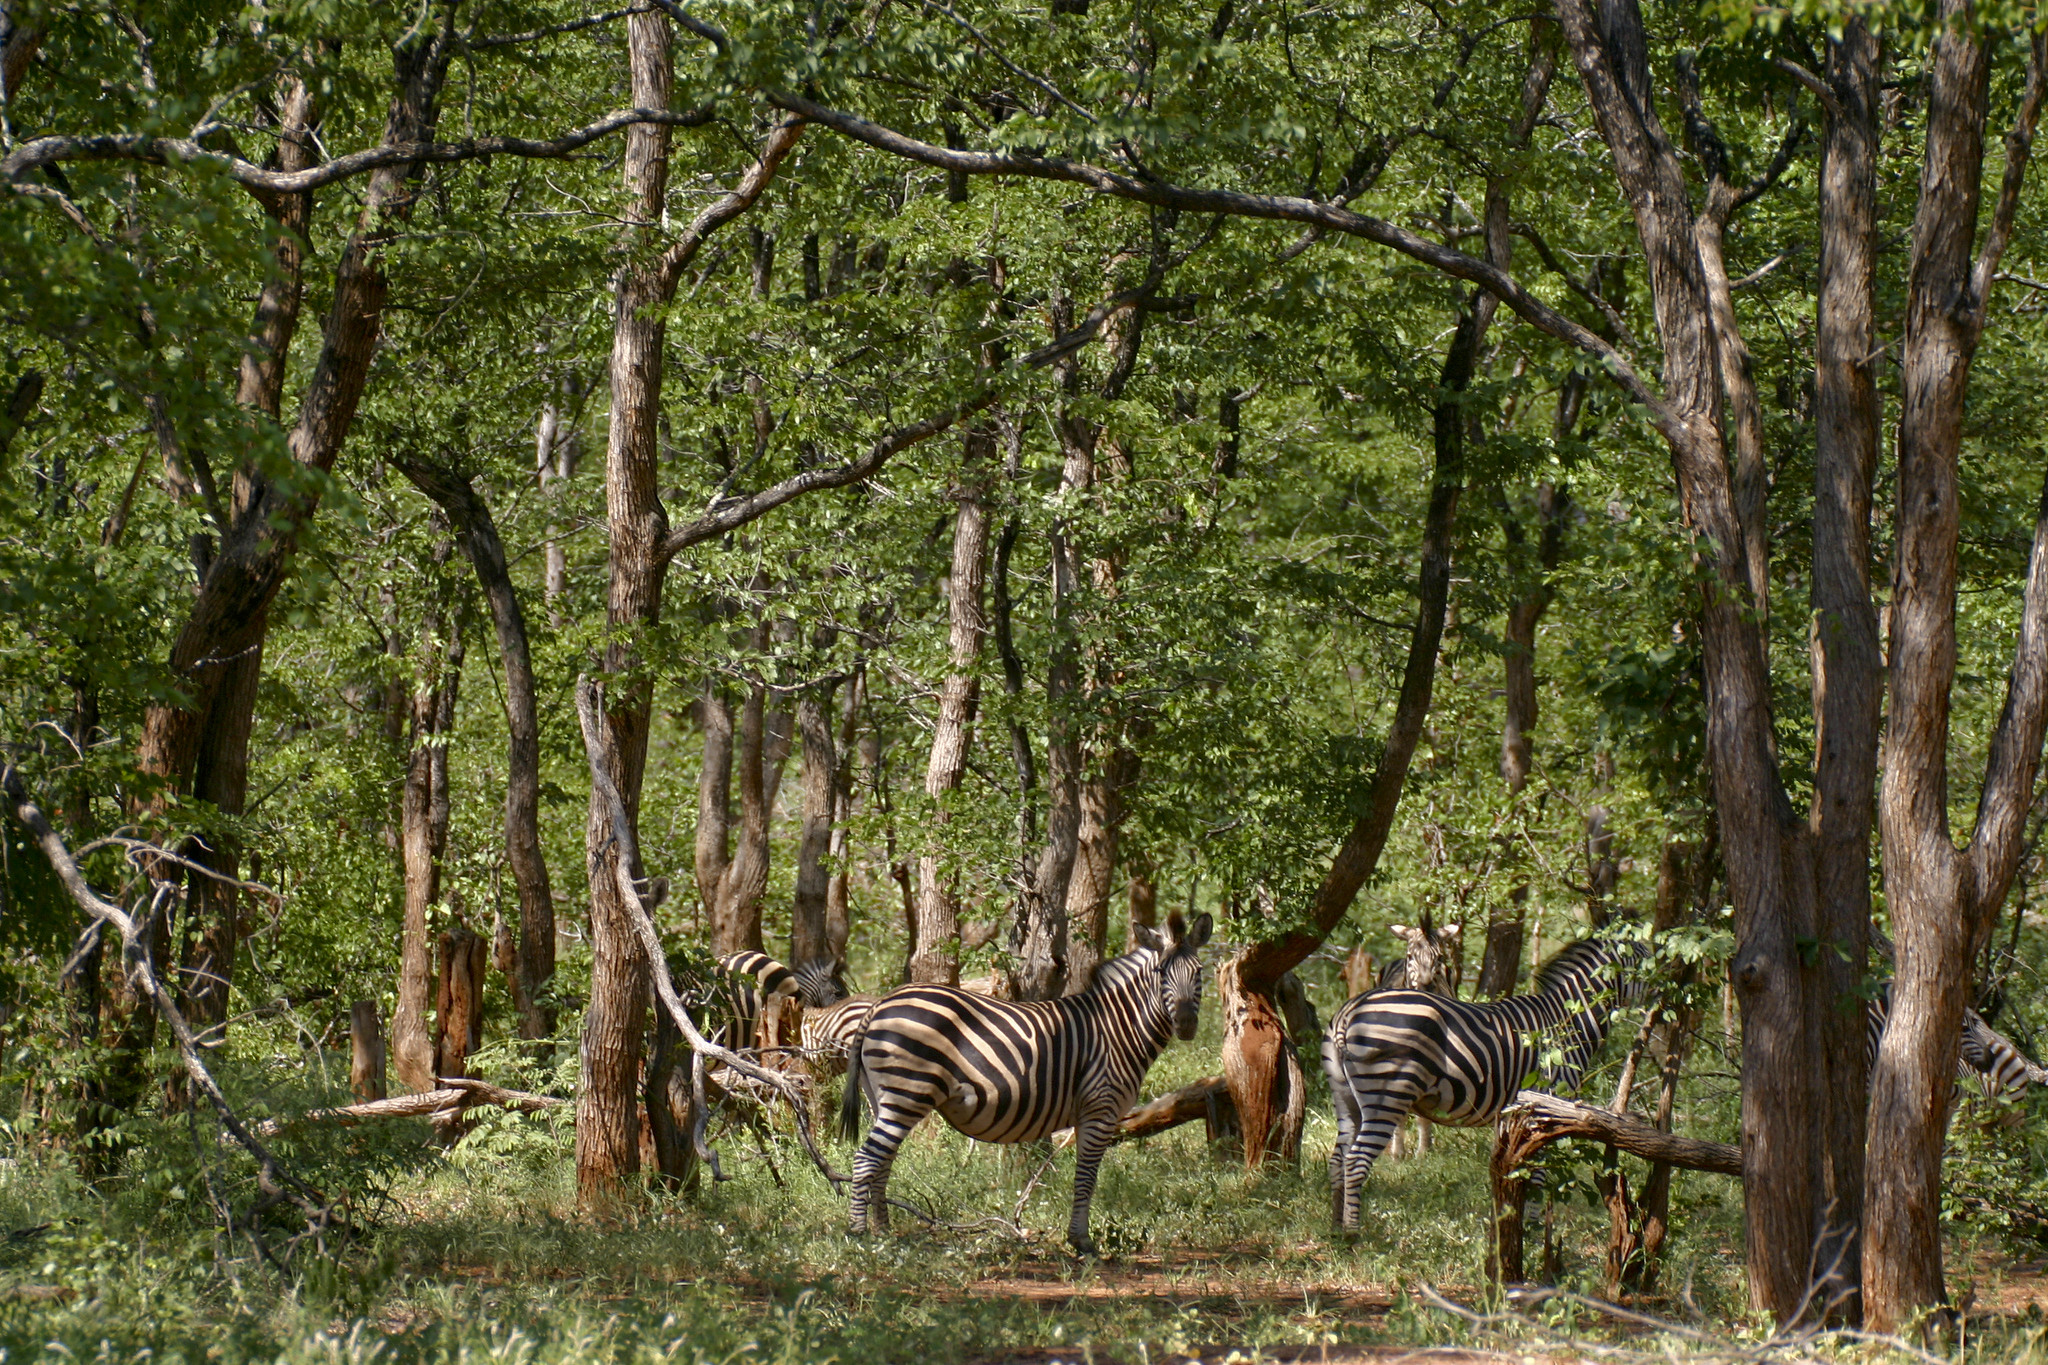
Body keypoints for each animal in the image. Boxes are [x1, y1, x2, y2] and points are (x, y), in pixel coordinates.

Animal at [839, 911, 1213, 1256]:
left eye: (1198, 972)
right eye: (1161, 973)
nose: (1186, 1024)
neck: (1116, 1029)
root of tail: (880, 1004)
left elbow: (1083, 1177)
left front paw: (1078, 1238)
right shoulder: (1100, 1108)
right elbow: (1086, 1177)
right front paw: (1082, 1242)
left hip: (884, 1096)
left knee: (882, 1161)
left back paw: (885, 1234)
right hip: (907, 1092)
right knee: (866, 1159)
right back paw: (859, 1236)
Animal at [1323, 932, 1650, 1230]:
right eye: (1647, 958)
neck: (1566, 1022)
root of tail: (1349, 1011)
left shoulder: (1515, 1114)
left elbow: (1511, 1168)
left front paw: (1507, 1220)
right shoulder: (1550, 1103)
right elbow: (1538, 1171)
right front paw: (1532, 1228)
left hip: (1345, 1096)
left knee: (1338, 1157)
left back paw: (1336, 1227)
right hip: (1386, 1096)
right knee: (1356, 1160)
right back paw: (1353, 1233)